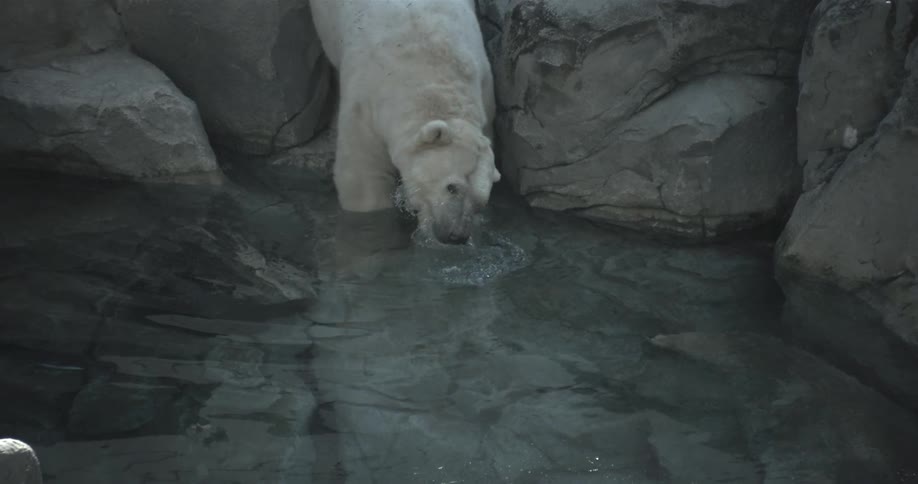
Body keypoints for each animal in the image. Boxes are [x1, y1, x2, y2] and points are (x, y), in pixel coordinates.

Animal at [309, 0, 500, 245]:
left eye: (480, 202)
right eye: (451, 187)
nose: (456, 235)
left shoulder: (485, 89)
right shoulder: (366, 100)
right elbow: (363, 178)